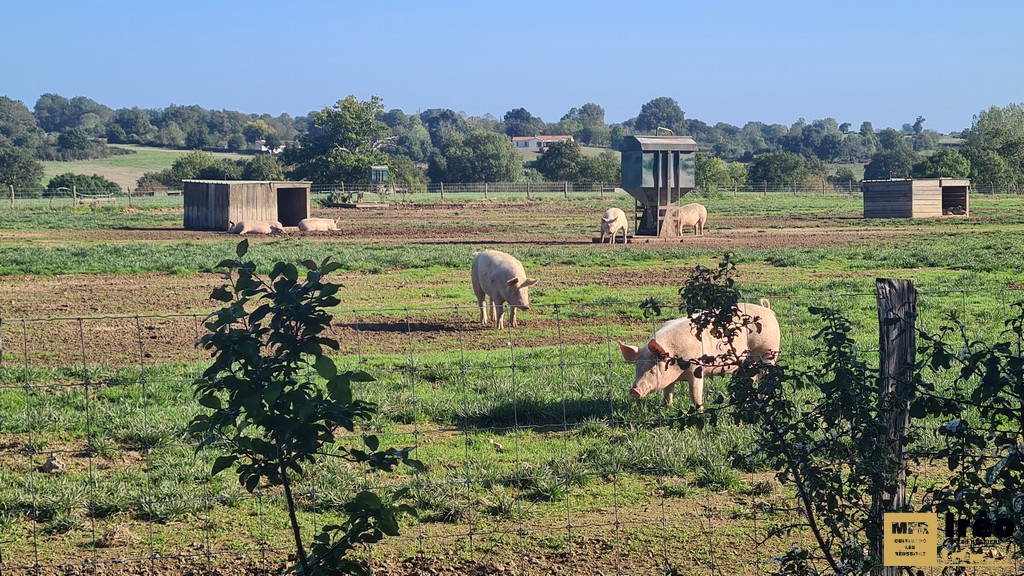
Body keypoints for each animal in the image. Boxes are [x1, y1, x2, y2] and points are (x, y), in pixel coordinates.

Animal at [618, 297, 778, 409]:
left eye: (652, 368)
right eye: (637, 367)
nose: (633, 390)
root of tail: (767, 310)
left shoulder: (697, 370)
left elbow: (695, 394)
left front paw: (700, 412)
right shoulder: (670, 378)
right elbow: (668, 392)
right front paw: (667, 408)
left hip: (767, 353)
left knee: (764, 376)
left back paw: (762, 400)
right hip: (748, 360)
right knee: (751, 376)